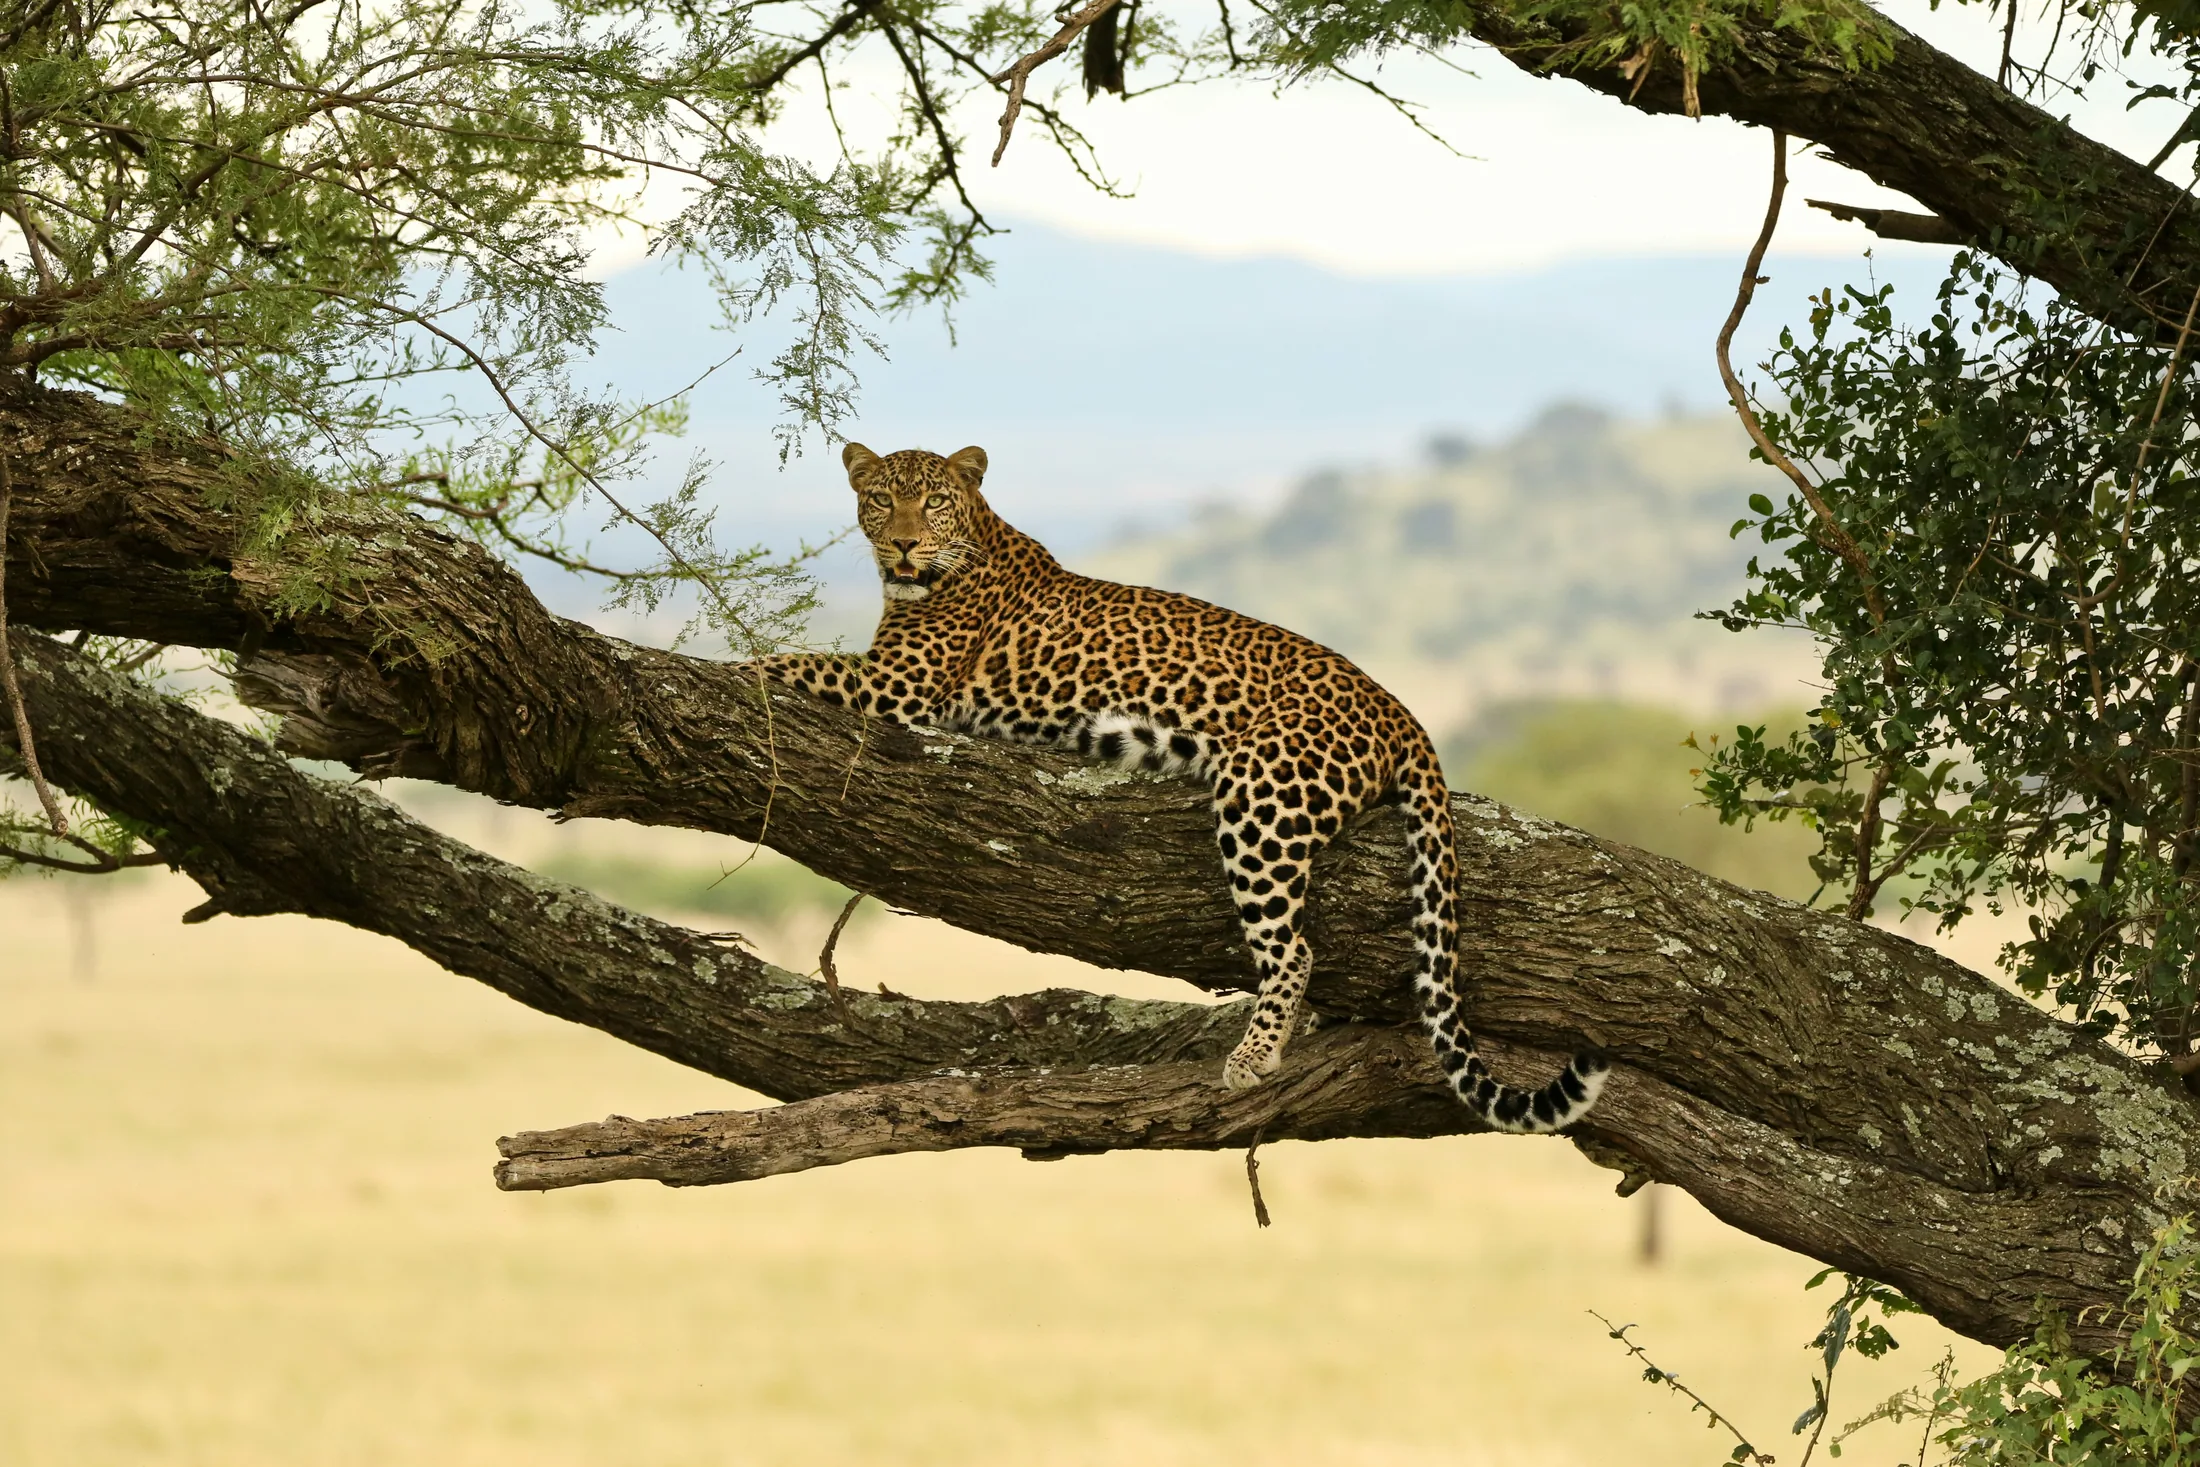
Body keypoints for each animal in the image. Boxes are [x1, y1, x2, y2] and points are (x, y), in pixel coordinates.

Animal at [750, 442, 1610, 1133]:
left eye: (931, 499)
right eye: (878, 497)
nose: (903, 542)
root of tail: (1401, 711)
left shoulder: (901, 686)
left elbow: (786, 662)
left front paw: (729, 666)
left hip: (1264, 798)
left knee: (1294, 947)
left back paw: (1254, 1054)